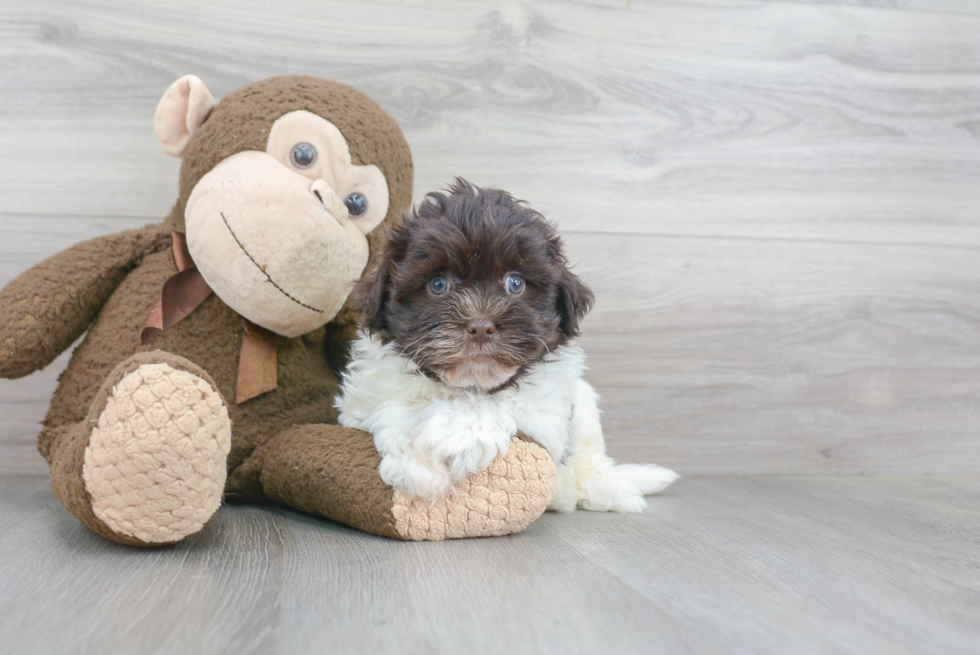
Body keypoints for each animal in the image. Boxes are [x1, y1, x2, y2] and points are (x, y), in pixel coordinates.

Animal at [334, 179, 672, 512]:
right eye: (438, 284)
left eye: (515, 283)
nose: (481, 327)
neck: (463, 385)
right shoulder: (362, 402)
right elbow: (392, 407)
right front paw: (418, 468)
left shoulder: (548, 409)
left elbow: (505, 400)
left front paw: (457, 432)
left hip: (586, 412)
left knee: (589, 463)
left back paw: (607, 490)